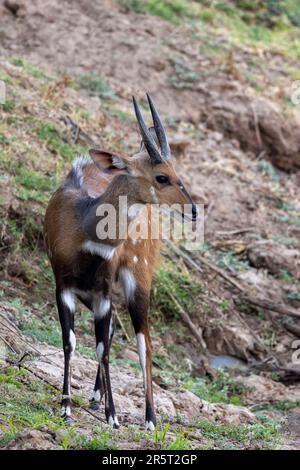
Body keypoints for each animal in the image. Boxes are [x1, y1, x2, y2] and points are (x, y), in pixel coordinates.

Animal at [44, 94, 197, 430]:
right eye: (162, 176)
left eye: (176, 172)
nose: (193, 210)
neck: (82, 226)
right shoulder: (64, 285)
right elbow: (70, 341)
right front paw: (66, 408)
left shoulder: (103, 292)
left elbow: (103, 347)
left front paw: (112, 417)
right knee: (114, 330)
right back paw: (95, 397)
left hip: (137, 281)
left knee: (144, 343)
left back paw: (150, 419)